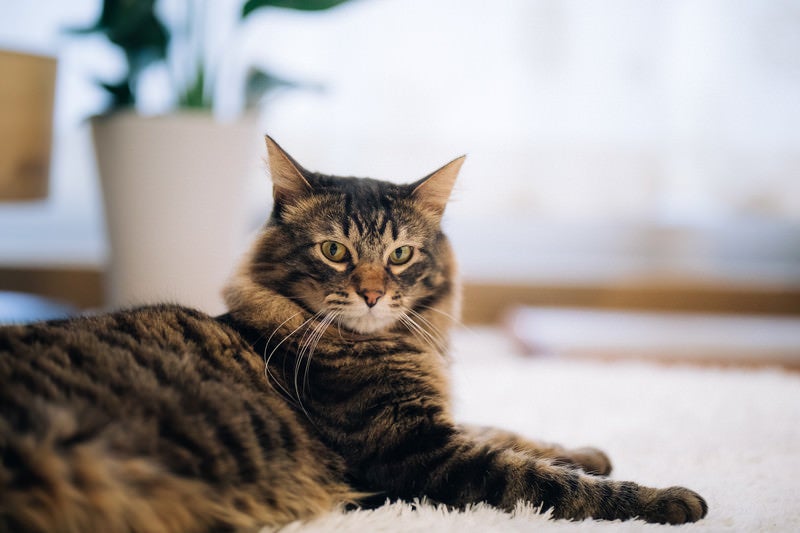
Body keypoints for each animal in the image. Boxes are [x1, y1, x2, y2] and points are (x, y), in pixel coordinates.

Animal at [0, 138, 708, 532]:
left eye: (399, 255)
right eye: (335, 251)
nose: (370, 292)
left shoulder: (438, 422)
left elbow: (513, 433)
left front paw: (586, 450)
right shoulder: (414, 450)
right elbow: (549, 481)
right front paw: (670, 499)